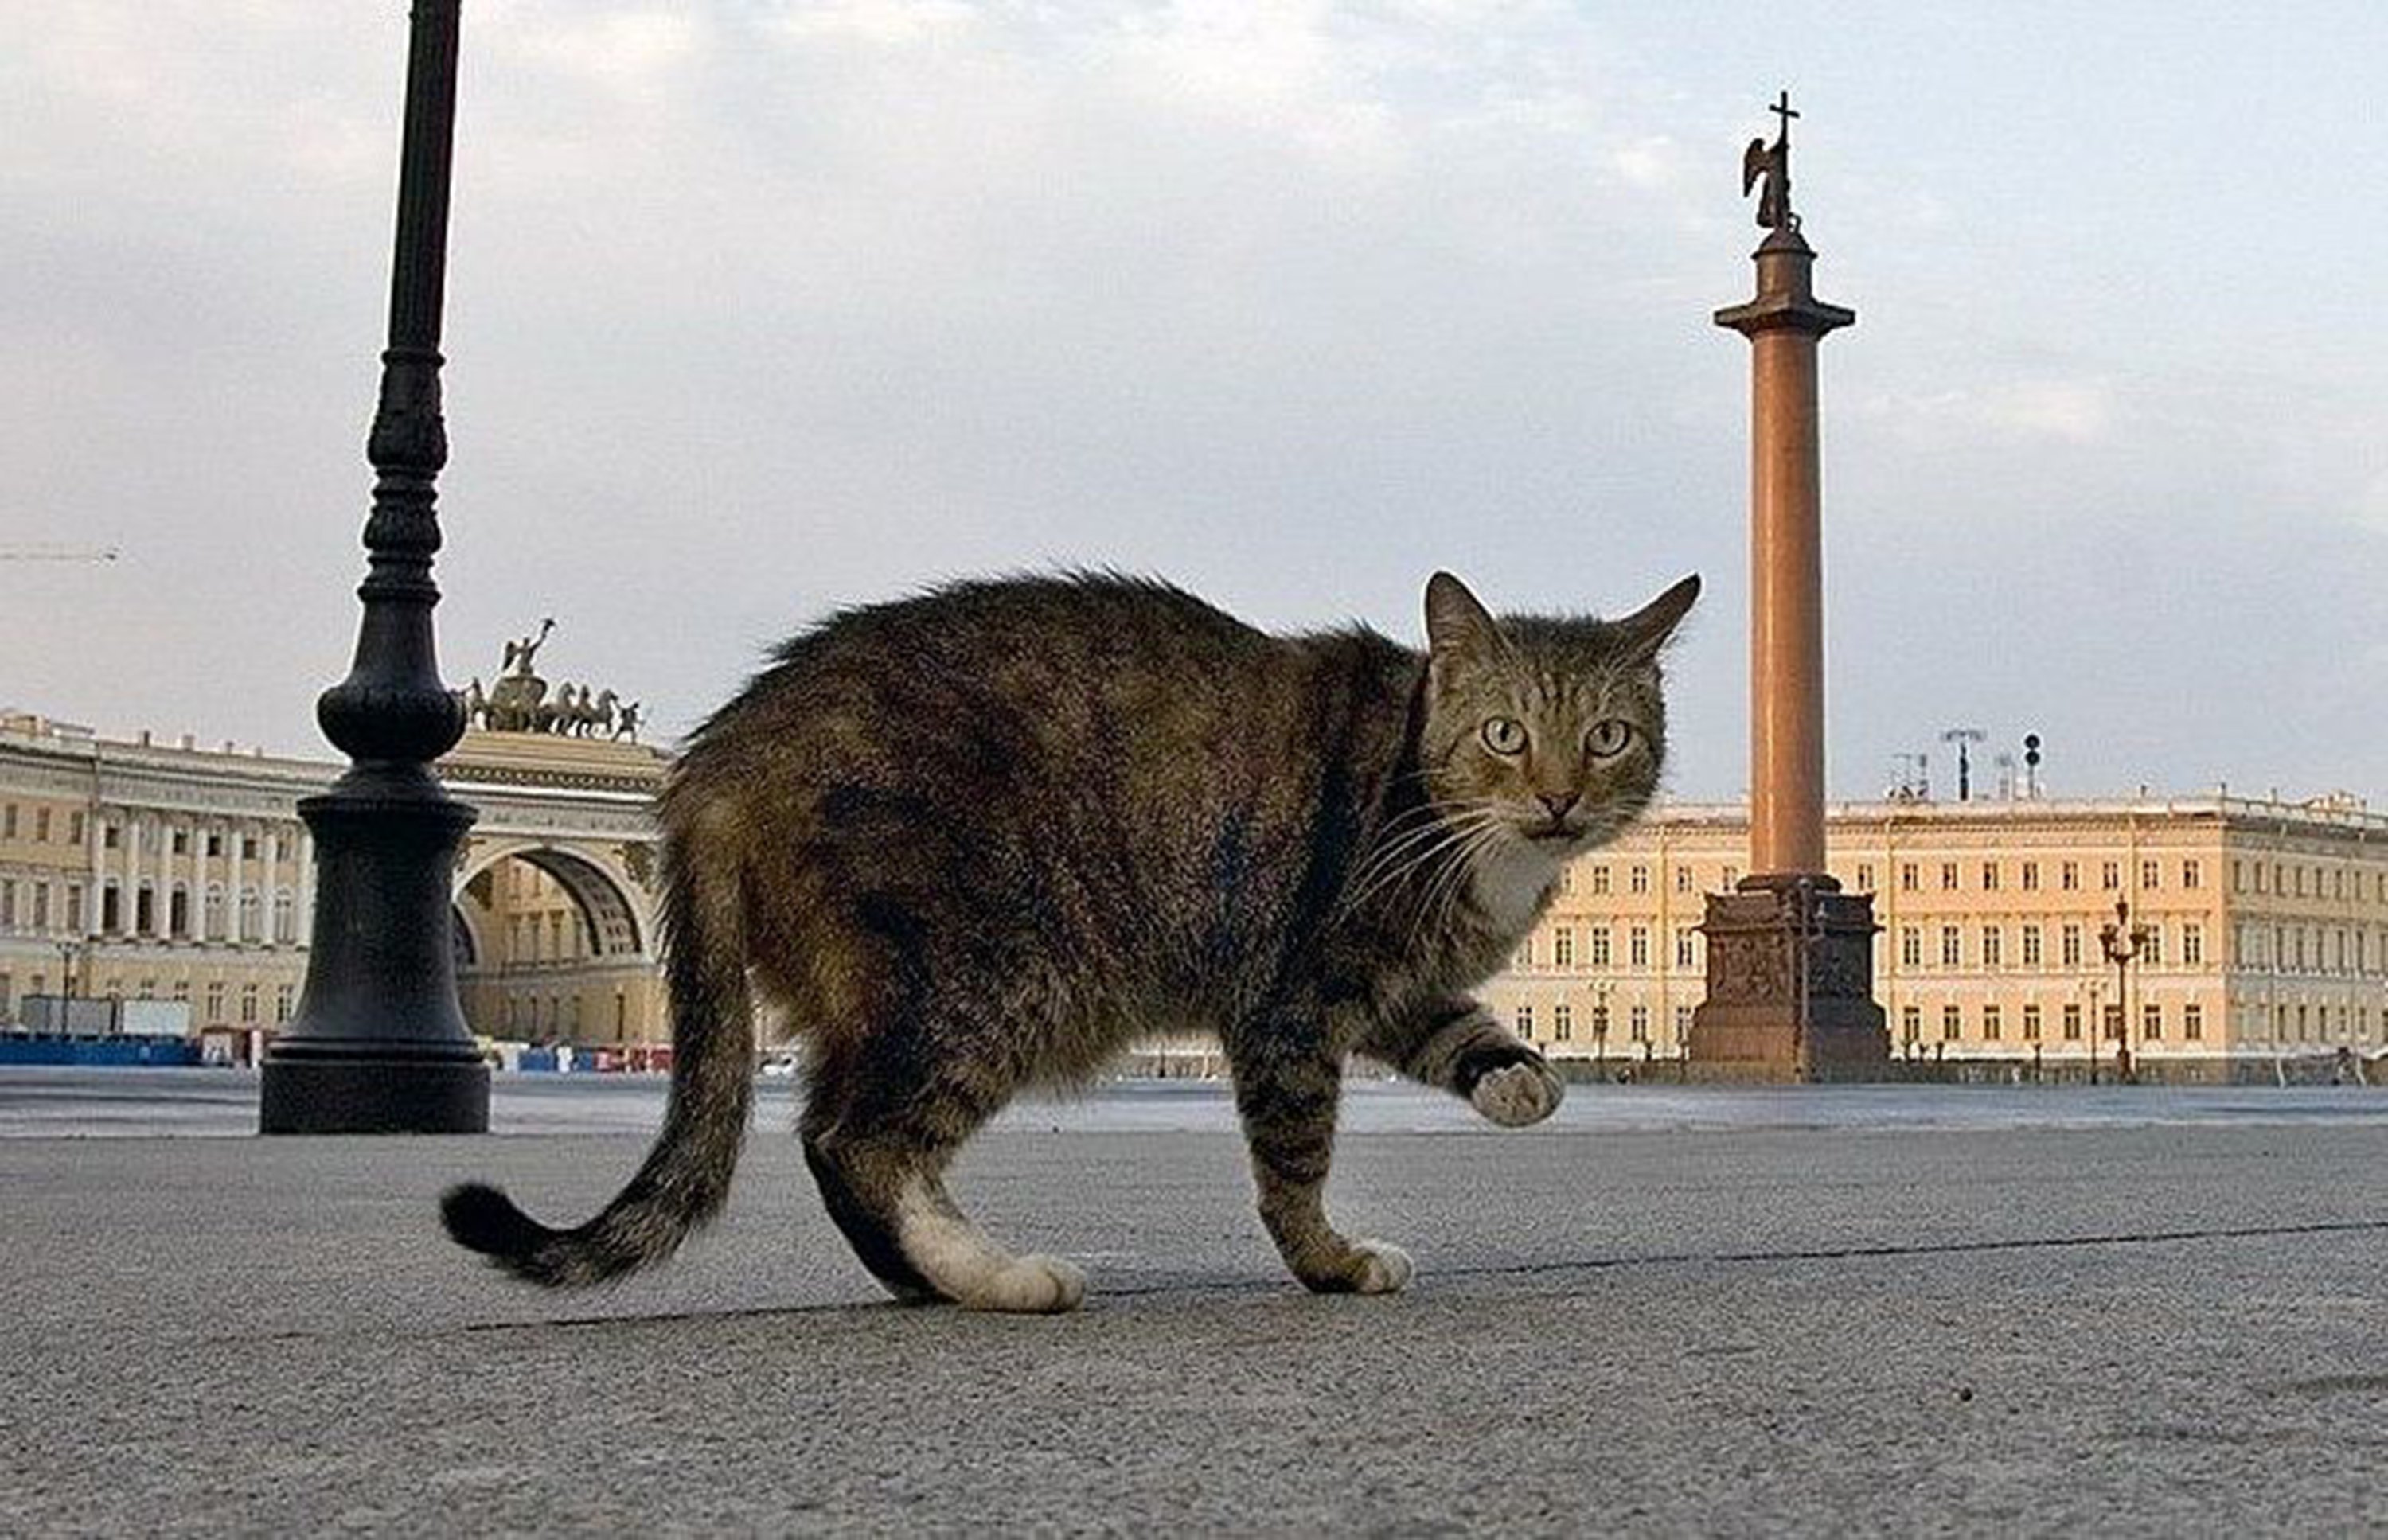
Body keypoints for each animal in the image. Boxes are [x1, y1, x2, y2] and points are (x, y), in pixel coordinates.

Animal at [444, 571, 1700, 1318]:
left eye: (1606, 736)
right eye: (1505, 734)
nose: (1556, 801)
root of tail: (716, 753)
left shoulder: (1392, 987)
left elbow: (1462, 1034)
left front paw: (1523, 1079)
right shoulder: (1293, 997)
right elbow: (1295, 1161)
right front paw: (1330, 1262)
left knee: (843, 1139)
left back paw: (937, 1277)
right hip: (993, 980)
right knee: (859, 1138)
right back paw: (997, 1277)